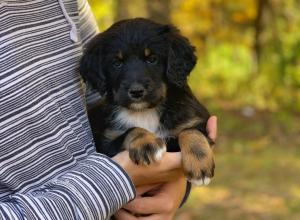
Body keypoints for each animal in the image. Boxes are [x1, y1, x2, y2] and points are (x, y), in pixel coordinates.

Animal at [81, 17, 214, 186]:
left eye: (152, 59)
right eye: (117, 63)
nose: (136, 91)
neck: (145, 111)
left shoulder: (196, 120)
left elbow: (191, 131)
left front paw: (199, 164)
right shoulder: (106, 144)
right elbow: (132, 130)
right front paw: (146, 143)